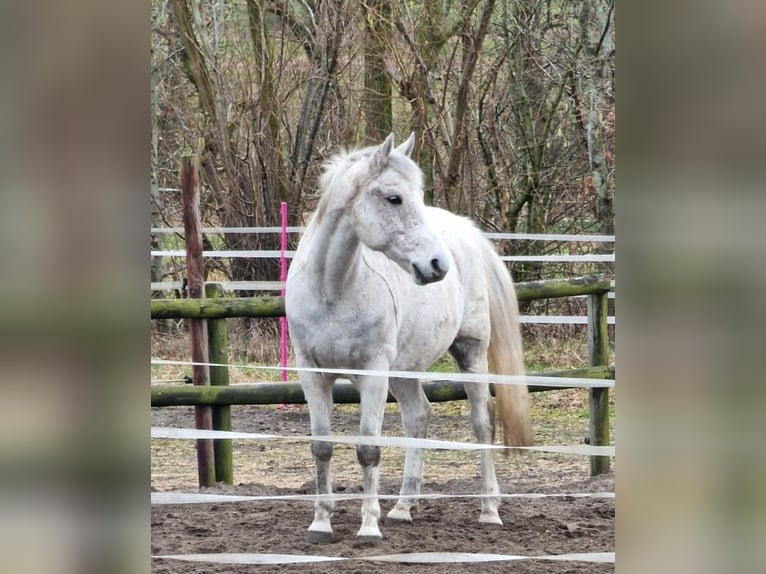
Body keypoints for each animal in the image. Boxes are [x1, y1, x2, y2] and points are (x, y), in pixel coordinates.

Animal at [288, 132, 536, 544]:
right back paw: (404, 507)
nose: (438, 265)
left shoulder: (373, 373)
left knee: (482, 421)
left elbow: (368, 449)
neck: (332, 289)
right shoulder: (312, 372)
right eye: (394, 198)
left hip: (470, 352)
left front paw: (368, 527)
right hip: (405, 370)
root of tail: (465, 230)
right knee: (418, 416)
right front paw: (320, 524)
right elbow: (321, 447)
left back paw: (489, 510)